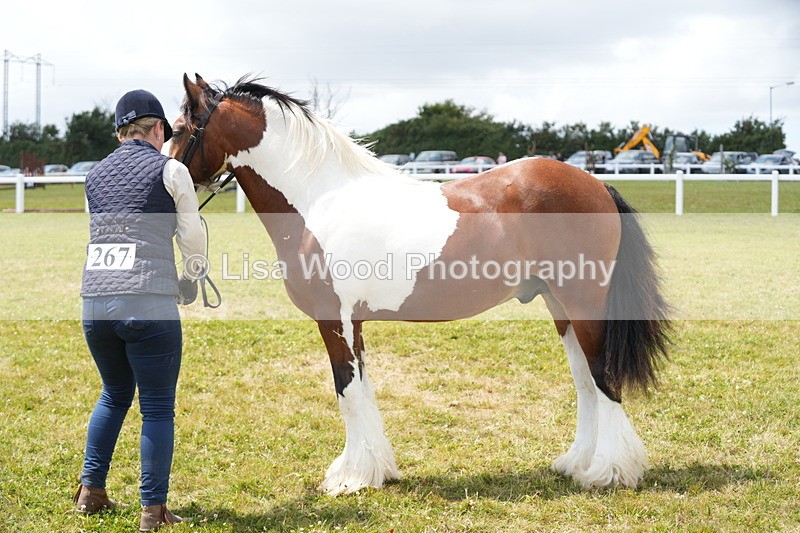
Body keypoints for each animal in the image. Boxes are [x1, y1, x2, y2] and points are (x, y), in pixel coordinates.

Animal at [168, 74, 671, 496]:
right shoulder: (354, 324)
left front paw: (350, 479)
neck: (320, 200)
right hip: (559, 306)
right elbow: (362, 389)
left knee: (604, 379)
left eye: (179, 129)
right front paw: (373, 470)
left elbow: (347, 392)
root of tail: (596, 185)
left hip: (583, 304)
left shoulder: (334, 320)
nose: (166, 179)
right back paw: (576, 463)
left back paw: (609, 472)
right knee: (585, 382)